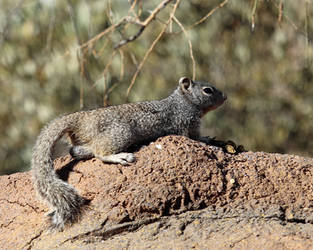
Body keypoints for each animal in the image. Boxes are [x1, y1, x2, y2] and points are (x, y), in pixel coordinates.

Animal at [31, 76, 225, 230]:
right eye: (207, 90)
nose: (225, 97)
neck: (183, 101)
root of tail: (80, 120)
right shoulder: (186, 124)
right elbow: (195, 138)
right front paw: (210, 142)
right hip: (121, 133)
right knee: (100, 152)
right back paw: (120, 157)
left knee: (76, 151)